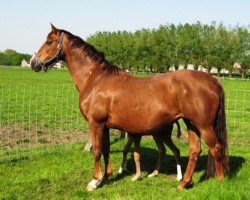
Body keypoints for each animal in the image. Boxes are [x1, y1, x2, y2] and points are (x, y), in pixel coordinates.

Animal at [30, 24, 229, 191]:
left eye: (49, 42)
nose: (33, 63)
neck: (96, 79)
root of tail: (212, 79)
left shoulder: (96, 123)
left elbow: (96, 150)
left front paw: (94, 181)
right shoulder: (105, 126)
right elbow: (106, 149)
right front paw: (106, 177)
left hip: (204, 126)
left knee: (216, 148)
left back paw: (219, 182)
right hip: (191, 124)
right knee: (195, 150)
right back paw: (184, 183)